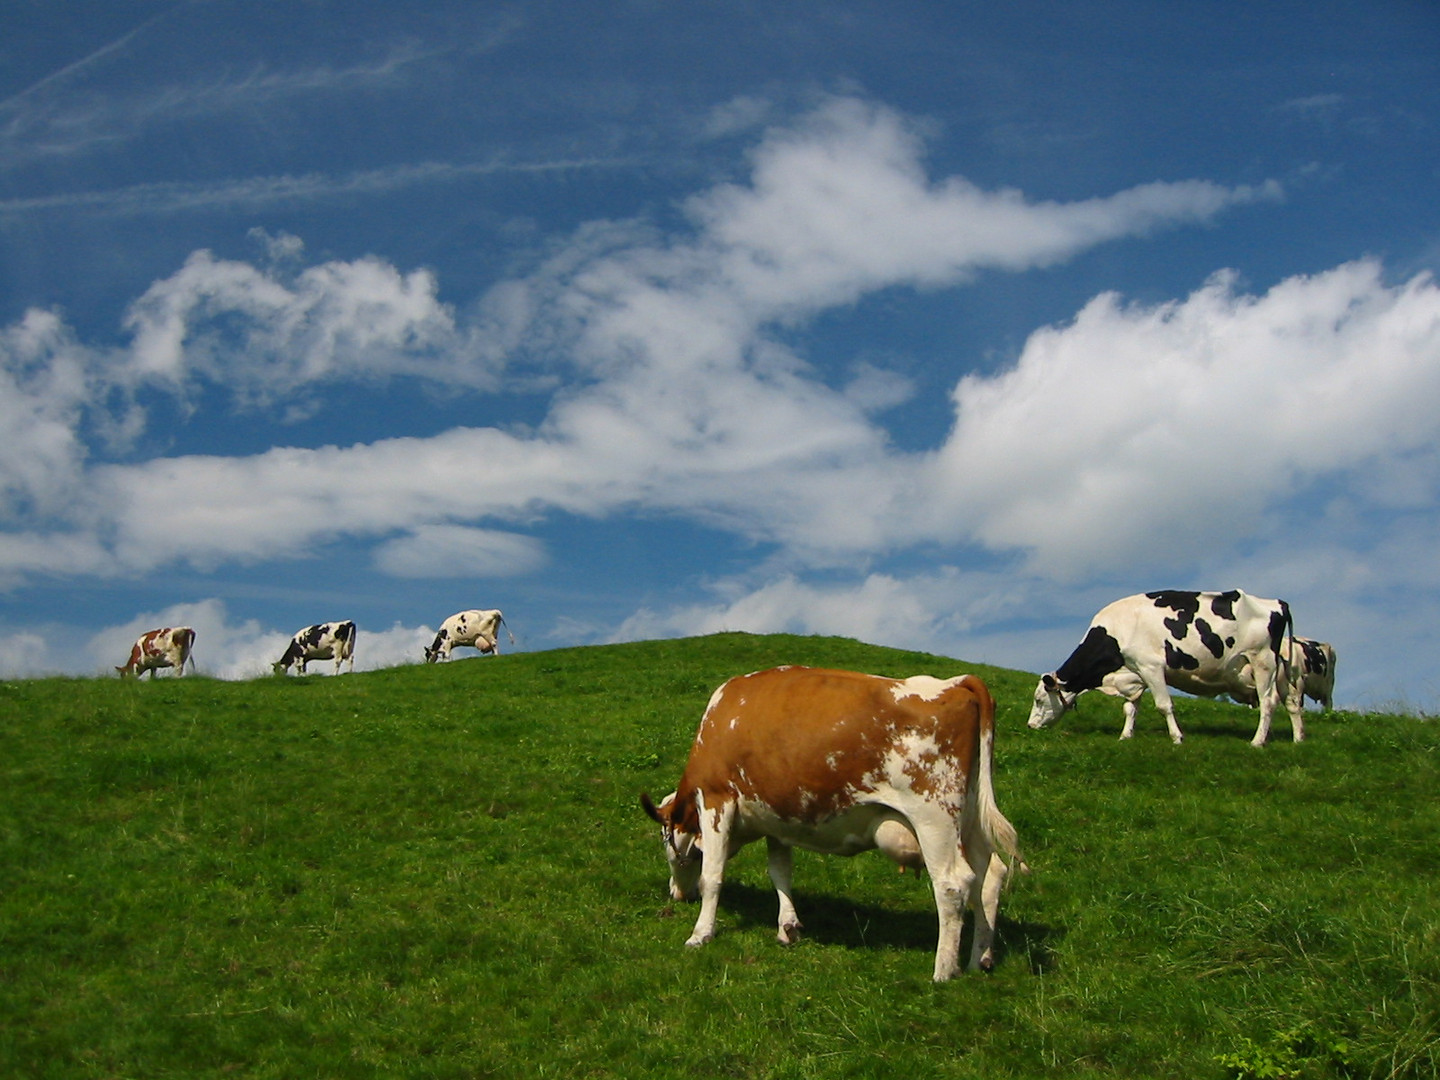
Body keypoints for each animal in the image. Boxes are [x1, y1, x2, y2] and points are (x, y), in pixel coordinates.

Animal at [642, 665, 1025, 984]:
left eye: (664, 839)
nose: (676, 894)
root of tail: (956, 683)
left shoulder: (716, 800)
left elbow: (712, 876)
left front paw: (700, 934)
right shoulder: (779, 817)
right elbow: (780, 872)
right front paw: (788, 927)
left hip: (935, 816)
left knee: (952, 884)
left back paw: (944, 970)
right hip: (971, 819)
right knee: (989, 877)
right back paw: (980, 959)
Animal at [1025, 593, 1307, 743]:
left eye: (1039, 699)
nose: (1029, 726)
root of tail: (1275, 602)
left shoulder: (1151, 667)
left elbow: (1164, 705)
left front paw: (1177, 737)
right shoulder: (1135, 673)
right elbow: (1130, 708)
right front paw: (1125, 736)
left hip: (1262, 662)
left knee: (1268, 702)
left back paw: (1257, 741)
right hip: (1279, 670)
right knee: (1291, 702)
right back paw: (1297, 739)